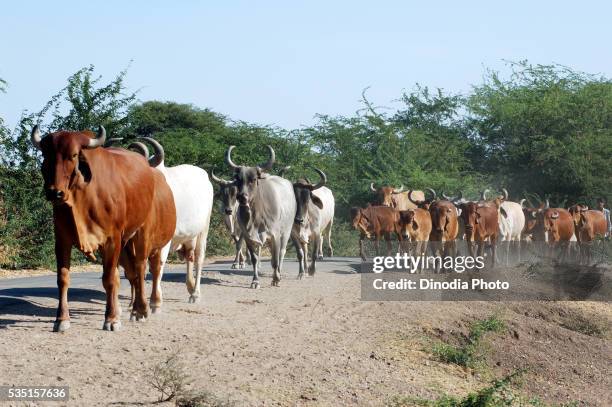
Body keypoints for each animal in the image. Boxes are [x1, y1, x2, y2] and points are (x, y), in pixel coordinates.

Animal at [140, 137, 214, 306]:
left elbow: (158, 266)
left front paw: (156, 299)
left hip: (203, 231)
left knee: (199, 259)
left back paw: (195, 293)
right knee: (189, 259)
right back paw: (190, 286)